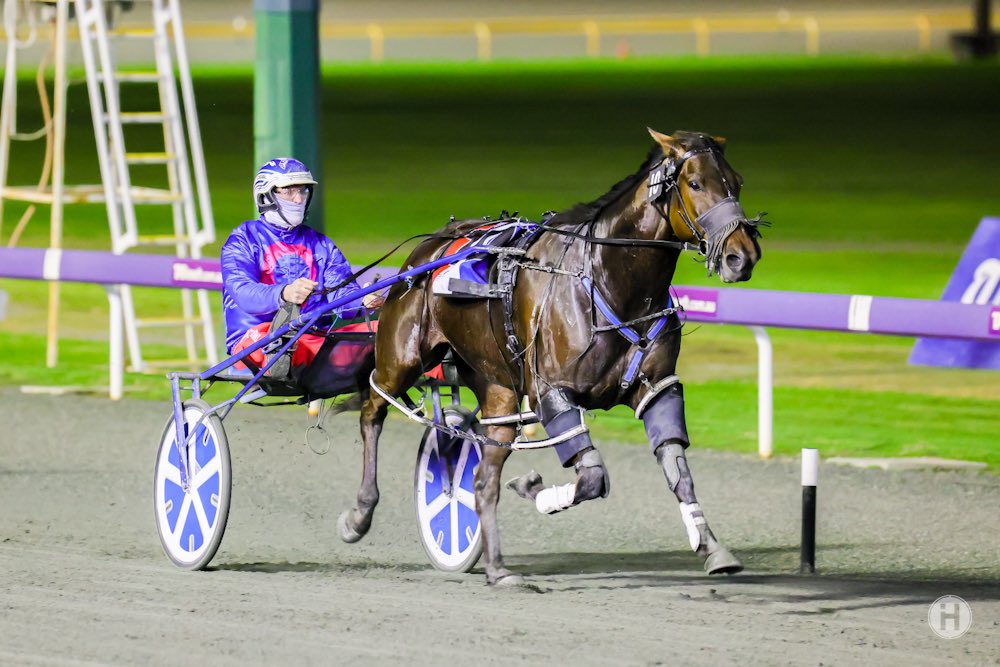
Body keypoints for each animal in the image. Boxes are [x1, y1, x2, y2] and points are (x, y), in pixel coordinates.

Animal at [339, 129, 764, 585]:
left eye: (737, 182)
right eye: (696, 183)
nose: (743, 255)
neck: (609, 280)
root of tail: (430, 246)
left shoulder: (657, 388)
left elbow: (677, 468)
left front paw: (713, 548)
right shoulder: (552, 393)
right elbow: (593, 478)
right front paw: (533, 489)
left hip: (500, 391)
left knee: (483, 478)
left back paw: (497, 567)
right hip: (401, 357)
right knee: (373, 409)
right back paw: (359, 514)